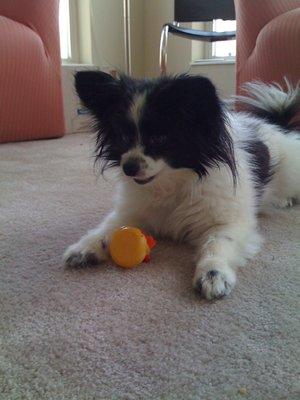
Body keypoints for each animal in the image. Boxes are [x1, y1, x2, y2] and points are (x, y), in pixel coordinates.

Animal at [63, 73, 300, 300]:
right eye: (123, 137)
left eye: (159, 138)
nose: (128, 167)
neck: (172, 182)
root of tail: (274, 125)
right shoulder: (132, 213)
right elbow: (108, 228)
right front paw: (85, 247)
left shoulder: (230, 222)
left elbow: (217, 243)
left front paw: (213, 274)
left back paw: (286, 200)